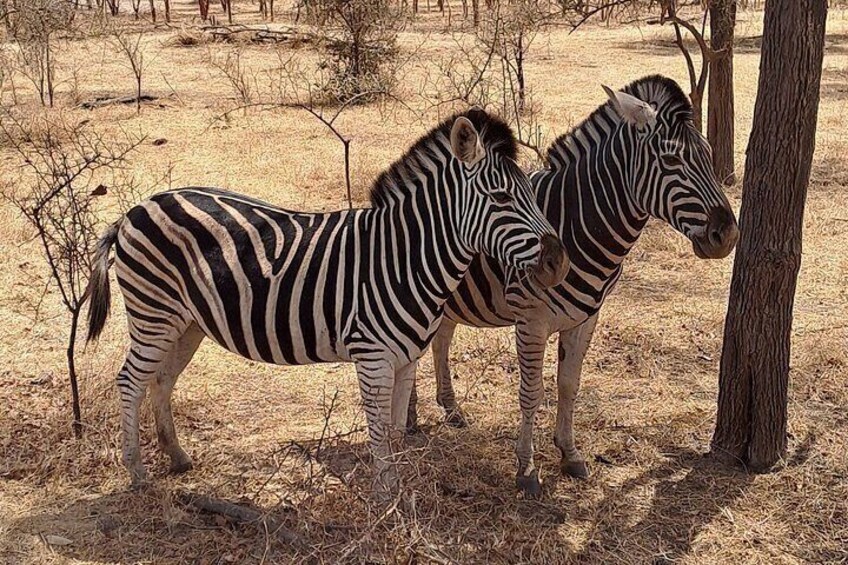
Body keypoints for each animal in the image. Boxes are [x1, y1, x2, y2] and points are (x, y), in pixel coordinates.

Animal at [85, 109, 569, 496]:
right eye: (501, 198)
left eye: (531, 193)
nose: (559, 262)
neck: (404, 256)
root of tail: (133, 210)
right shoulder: (372, 356)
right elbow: (379, 434)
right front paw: (384, 499)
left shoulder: (407, 358)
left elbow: (396, 432)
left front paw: (400, 495)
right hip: (154, 313)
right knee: (130, 381)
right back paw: (138, 474)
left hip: (187, 323)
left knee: (161, 380)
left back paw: (177, 457)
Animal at [405, 76, 740, 497]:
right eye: (671, 161)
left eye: (709, 155)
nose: (726, 236)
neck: (578, 221)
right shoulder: (531, 322)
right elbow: (532, 393)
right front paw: (527, 470)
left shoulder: (587, 316)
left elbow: (569, 384)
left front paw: (569, 453)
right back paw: (409, 419)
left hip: (448, 298)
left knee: (441, 340)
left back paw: (451, 410)